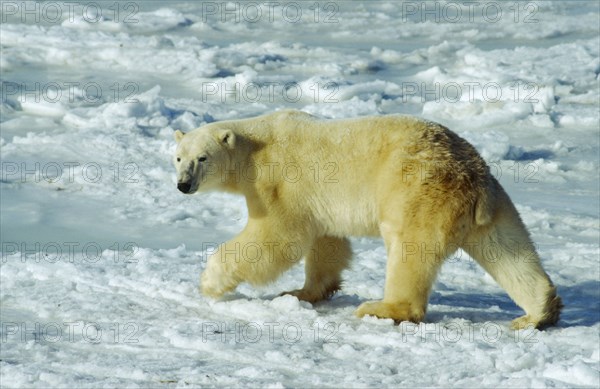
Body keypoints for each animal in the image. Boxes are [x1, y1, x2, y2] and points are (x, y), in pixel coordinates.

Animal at [172, 109, 564, 328]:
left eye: (202, 158)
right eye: (177, 157)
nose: (183, 184)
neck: (255, 146)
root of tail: (471, 176)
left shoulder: (279, 183)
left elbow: (276, 237)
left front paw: (210, 282)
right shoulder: (317, 200)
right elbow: (326, 244)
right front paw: (302, 291)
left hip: (417, 192)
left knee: (408, 251)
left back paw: (382, 308)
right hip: (493, 203)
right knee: (508, 248)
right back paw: (538, 313)